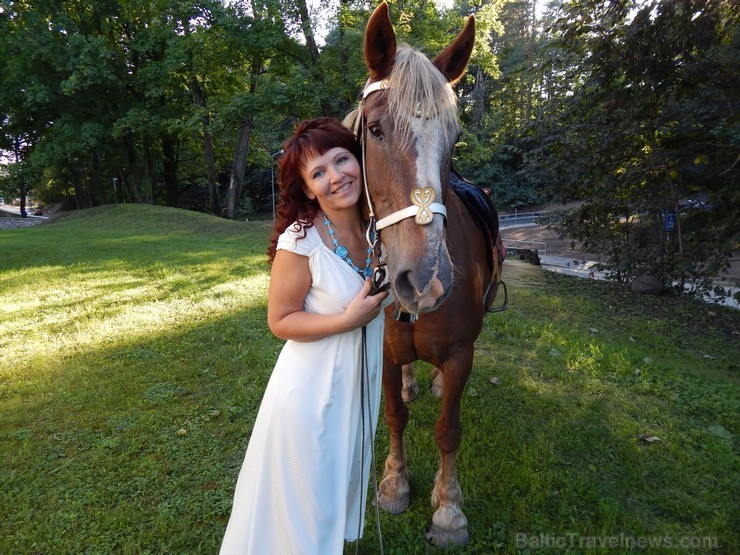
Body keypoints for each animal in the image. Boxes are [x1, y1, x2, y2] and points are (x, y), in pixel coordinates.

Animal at [346, 0, 502, 548]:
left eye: (454, 138)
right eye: (375, 129)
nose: (427, 280)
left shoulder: (460, 356)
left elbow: (447, 430)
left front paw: (448, 510)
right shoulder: (387, 354)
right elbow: (395, 415)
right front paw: (395, 485)